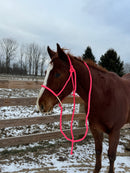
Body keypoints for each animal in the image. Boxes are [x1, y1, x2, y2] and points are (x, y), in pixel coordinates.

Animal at [36, 43, 130, 173]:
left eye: (57, 74)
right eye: (45, 72)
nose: (41, 104)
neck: (105, 95)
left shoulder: (115, 132)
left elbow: (111, 156)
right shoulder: (95, 129)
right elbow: (98, 153)